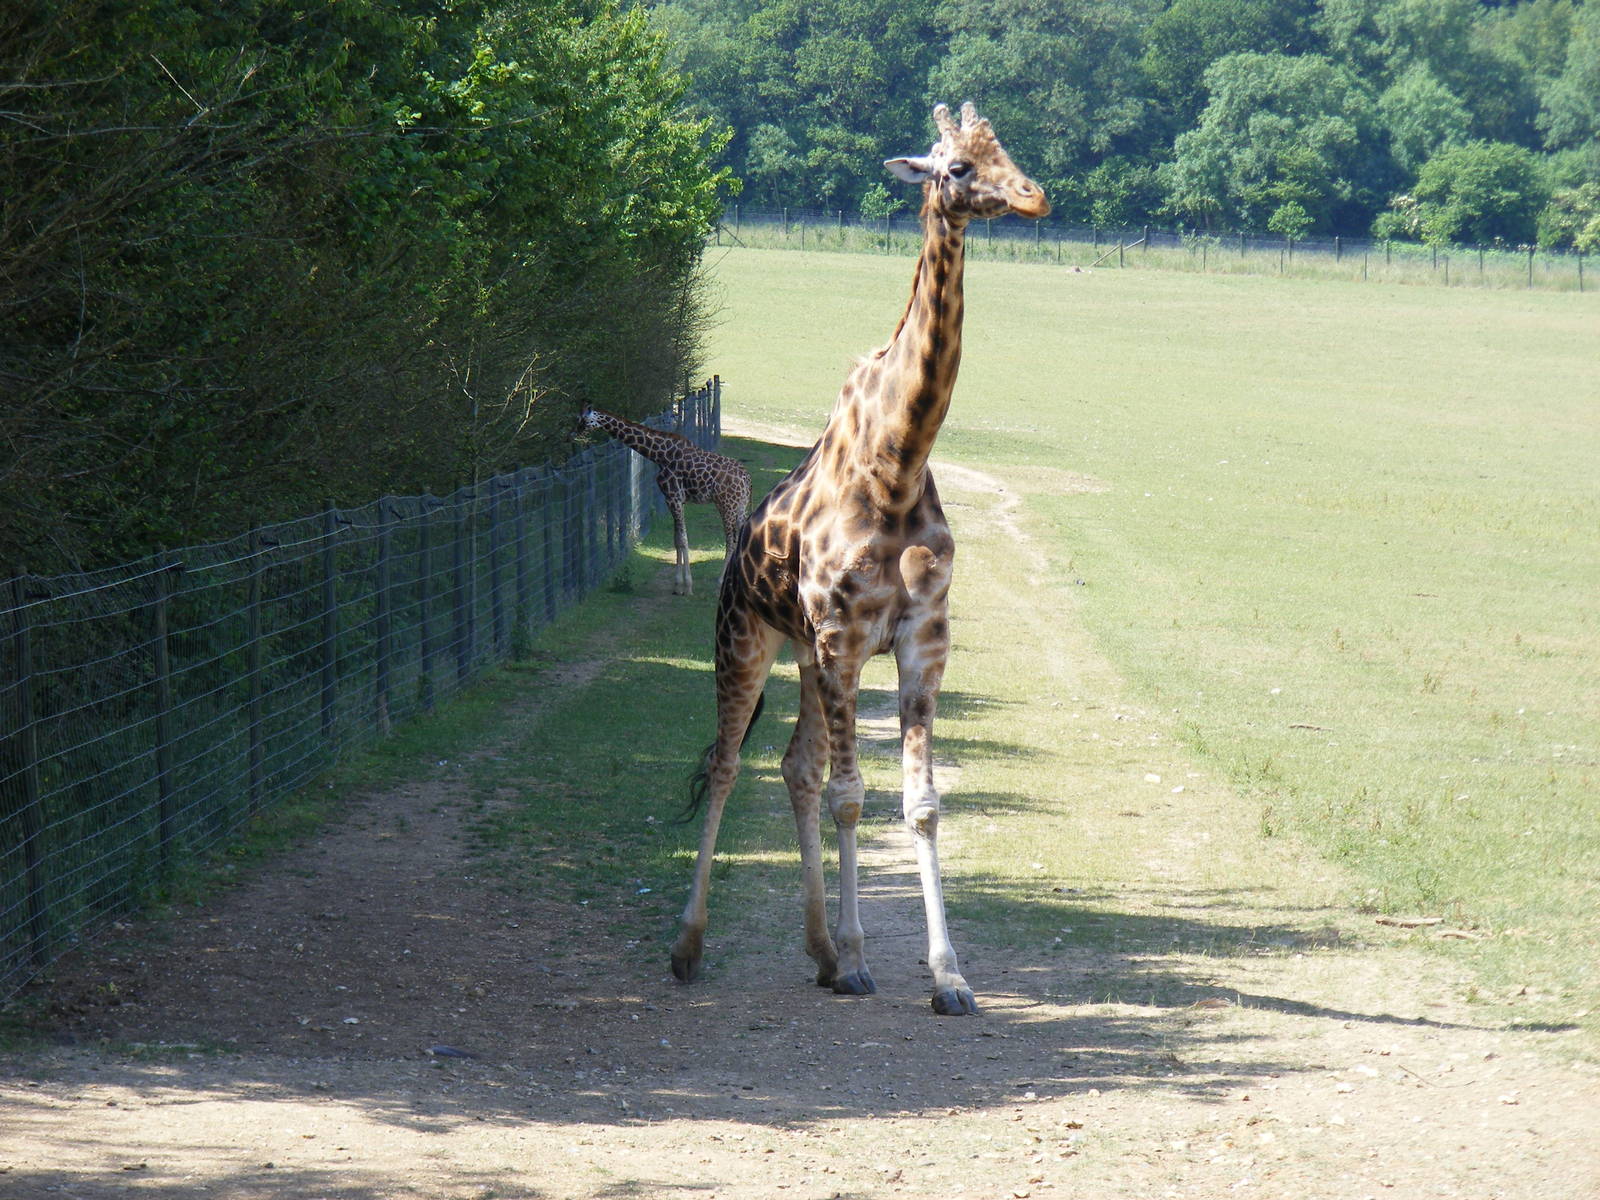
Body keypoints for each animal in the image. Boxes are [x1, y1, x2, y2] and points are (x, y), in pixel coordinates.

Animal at [575, 405, 752, 595]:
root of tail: (746, 478)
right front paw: (677, 585)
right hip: (740, 506)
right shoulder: (673, 499)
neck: (660, 455)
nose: (575, 433)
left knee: (731, 541)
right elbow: (677, 539)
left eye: (584, 420)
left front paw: (687, 586)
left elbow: (683, 539)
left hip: (726, 504)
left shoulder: (674, 496)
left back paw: (720, 584)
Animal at [671, 102, 1048, 1015]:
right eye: (956, 166)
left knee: (793, 767)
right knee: (730, 763)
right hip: (747, 640)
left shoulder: (920, 640)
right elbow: (852, 798)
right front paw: (859, 958)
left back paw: (815, 949)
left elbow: (921, 804)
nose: (1033, 197)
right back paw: (691, 945)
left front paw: (948, 976)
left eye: (1005, 150)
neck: (899, 460)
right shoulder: (844, 638)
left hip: (807, 658)